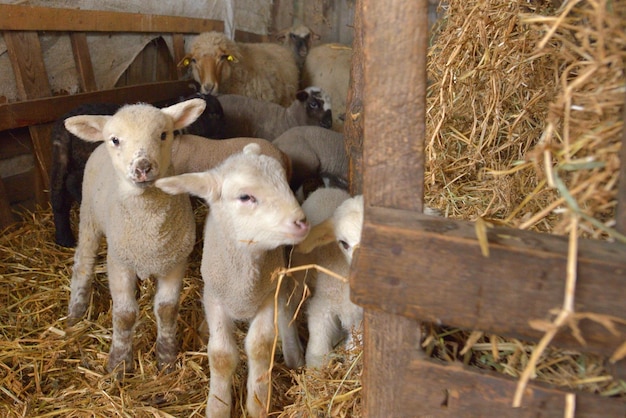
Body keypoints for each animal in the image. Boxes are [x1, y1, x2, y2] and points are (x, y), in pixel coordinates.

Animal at [50, 92, 224, 248]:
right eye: (213, 114)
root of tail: (62, 131)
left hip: (60, 158)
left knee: (58, 195)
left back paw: (64, 239)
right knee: (72, 182)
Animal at [64, 98, 205, 372]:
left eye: (163, 135)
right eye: (116, 140)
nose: (142, 167)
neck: (149, 232)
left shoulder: (174, 262)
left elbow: (167, 310)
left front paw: (166, 358)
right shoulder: (119, 262)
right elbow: (125, 315)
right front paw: (119, 363)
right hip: (89, 218)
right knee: (83, 263)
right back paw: (76, 310)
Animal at [155, 144, 310, 418]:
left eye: (284, 182)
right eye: (245, 197)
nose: (301, 222)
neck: (243, 284)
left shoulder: (267, 295)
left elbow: (260, 346)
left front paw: (258, 403)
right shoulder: (215, 298)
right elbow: (221, 356)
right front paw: (218, 406)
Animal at [294, 189, 364, 370]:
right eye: (343, 243)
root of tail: (327, 190)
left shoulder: (360, 317)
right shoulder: (322, 305)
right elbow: (318, 342)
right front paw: (316, 368)